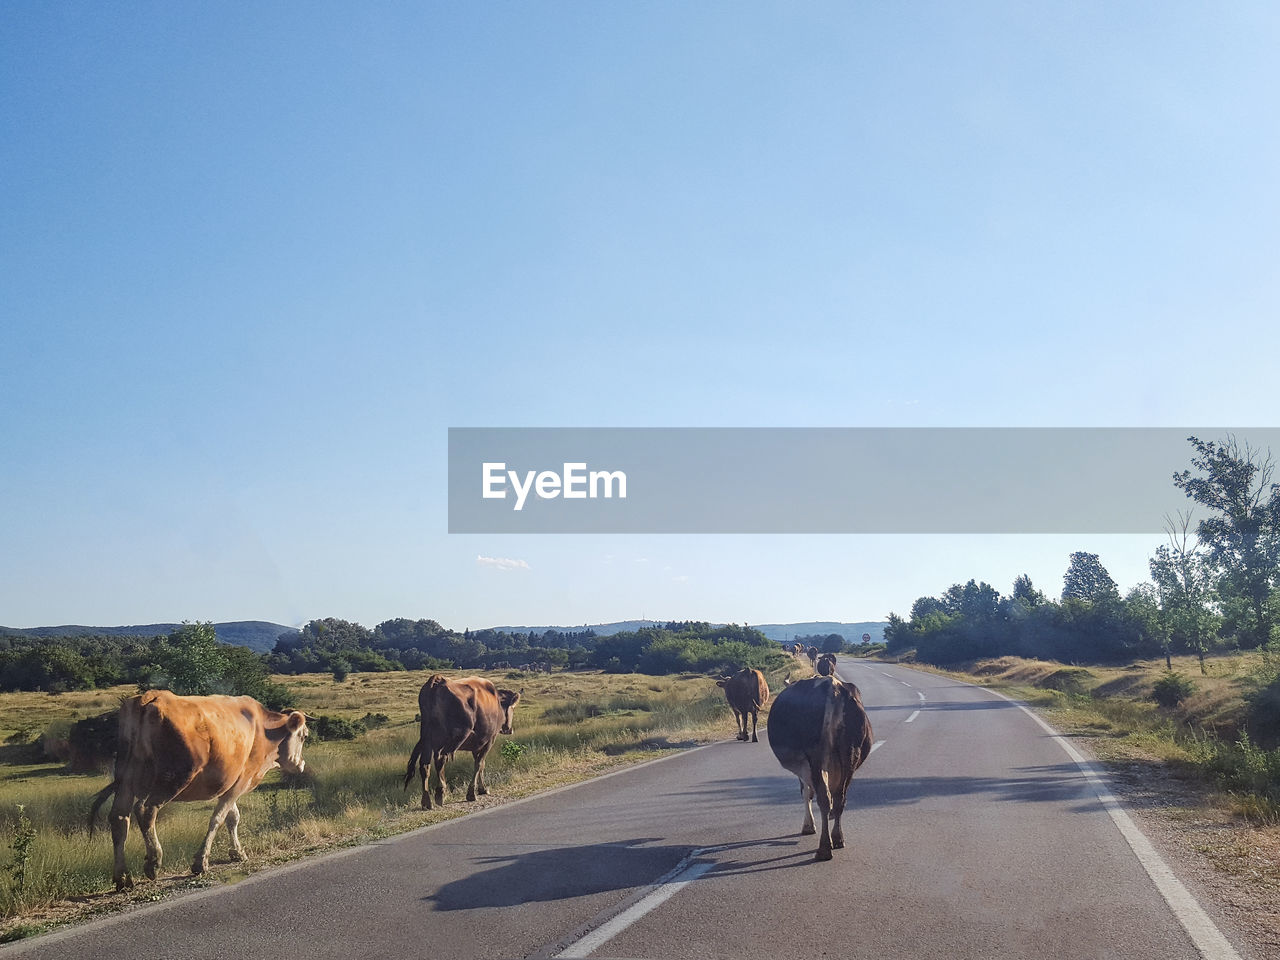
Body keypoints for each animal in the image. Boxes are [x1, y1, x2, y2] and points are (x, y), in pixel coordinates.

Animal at [88, 691, 309, 896]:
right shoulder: (242, 780)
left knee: (119, 818)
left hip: (126, 778)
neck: (265, 731)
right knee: (145, 809)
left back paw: (123, 877)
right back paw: (153, 862)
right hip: (174, 776)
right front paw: (201, 862)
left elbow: (233, 817)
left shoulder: (229, 785)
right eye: (304, 736)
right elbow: (218, 819)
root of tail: (150, 697)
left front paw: (237, 852)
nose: (301, 764)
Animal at [399, 675, 519, 814]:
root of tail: (437, 680)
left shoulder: (477, 744)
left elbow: (480, 765)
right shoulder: (489, 740)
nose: (509, 729)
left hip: (427, 739)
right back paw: (440, 792)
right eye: (513, 708)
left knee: (425, 765)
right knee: (440, 759)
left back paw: (426, 801)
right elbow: (479, 764)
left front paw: (482, 789)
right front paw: (472, 794)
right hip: (453, 736)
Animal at [762, 675, 875, 865]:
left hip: (816, 757)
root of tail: (833, 686)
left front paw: (808, 826)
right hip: (851, 756)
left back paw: (824, 849)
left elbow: (806, 792)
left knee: (824, 798)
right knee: (839, 799)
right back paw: (837, 838)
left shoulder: (804, 767)